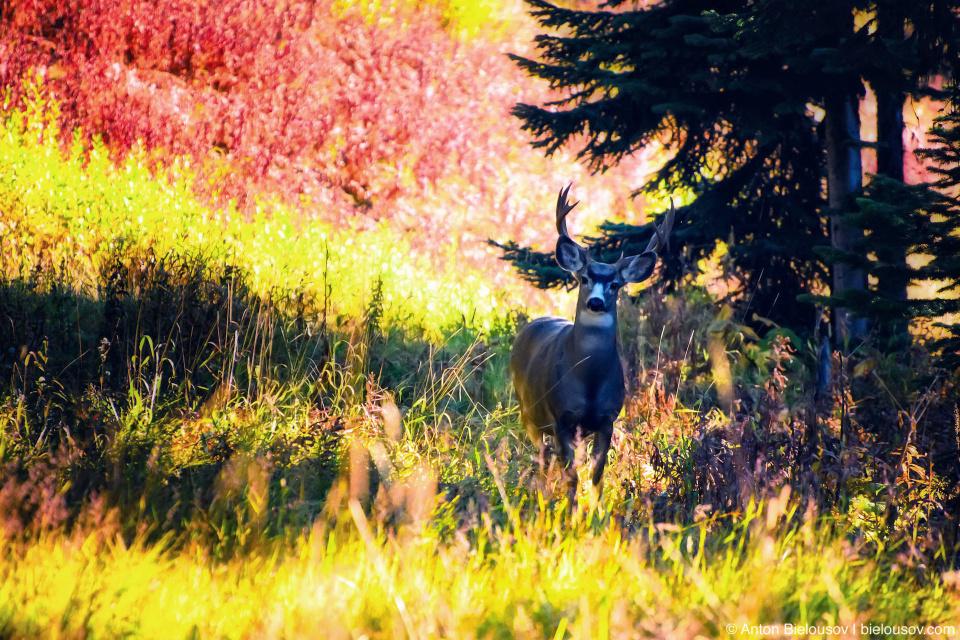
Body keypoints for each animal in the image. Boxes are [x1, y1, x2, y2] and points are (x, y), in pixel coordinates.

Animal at [510, 185, 676, 504]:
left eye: (615, 284)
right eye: (584, 277)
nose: (596, 302)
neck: (589, 380)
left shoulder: (606, 419)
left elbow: (597, 475)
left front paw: (596, 511)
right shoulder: (561, 417)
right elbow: (572, 474)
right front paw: (570, 510)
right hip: (527, 411)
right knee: (542, 460)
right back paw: (543, 497)